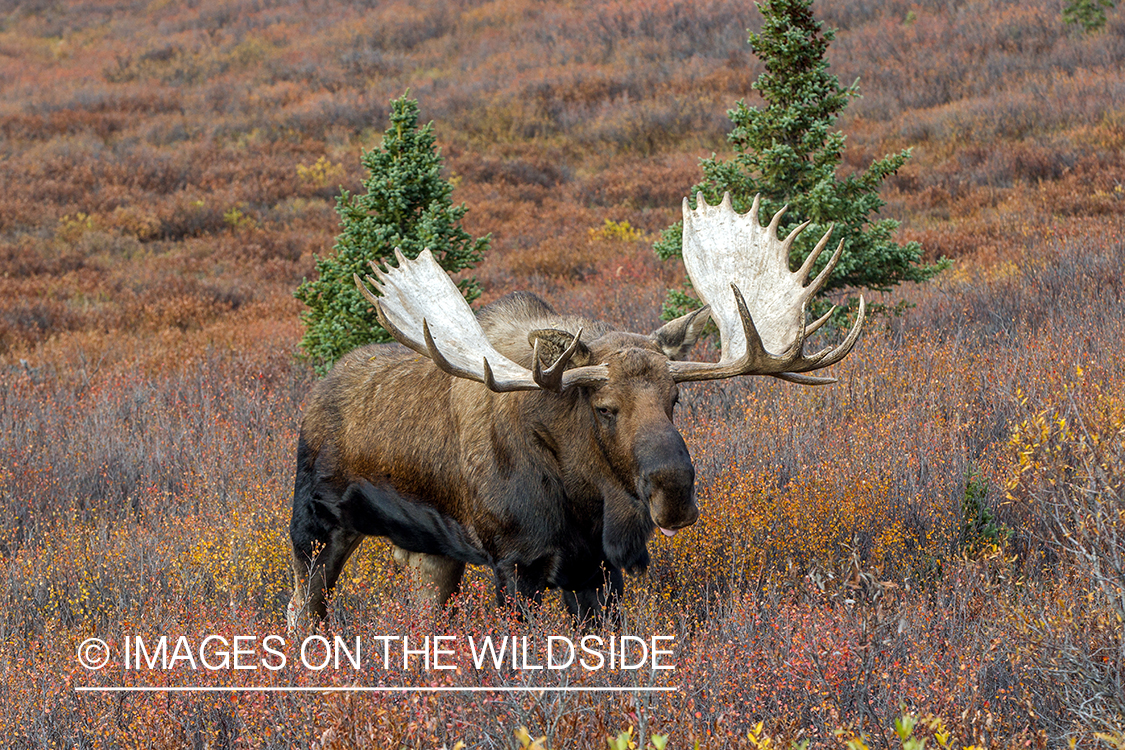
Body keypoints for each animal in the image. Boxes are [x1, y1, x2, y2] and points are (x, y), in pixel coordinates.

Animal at [285, 193, 864, 629]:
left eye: (675, 399)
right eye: (605, 407)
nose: (674, 493)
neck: (585, 500)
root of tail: (313, 397)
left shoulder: (598, 570)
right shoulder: (515, 564)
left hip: (435, 555)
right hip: (315, 527)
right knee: (301, 609)